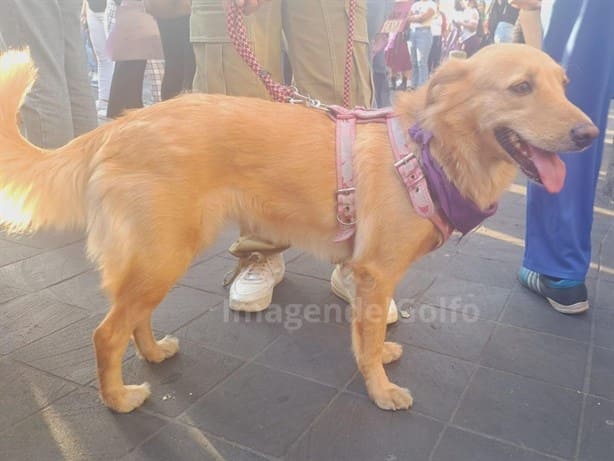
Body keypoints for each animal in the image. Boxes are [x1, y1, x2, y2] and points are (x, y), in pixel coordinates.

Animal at [0, 45, 600, 414]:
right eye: (521, 87)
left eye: (563, 85)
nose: (591, 134)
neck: (429, 148)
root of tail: (121, 122)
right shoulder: (377, 272)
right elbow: (368, 340)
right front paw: (381, 391)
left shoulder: (368, 276)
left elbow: (367, 334)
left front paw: (378, 359)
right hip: (163, 254)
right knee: (106, 333)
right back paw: (118, 398)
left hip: (162, 254)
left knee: (134, 320)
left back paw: (153, 354)